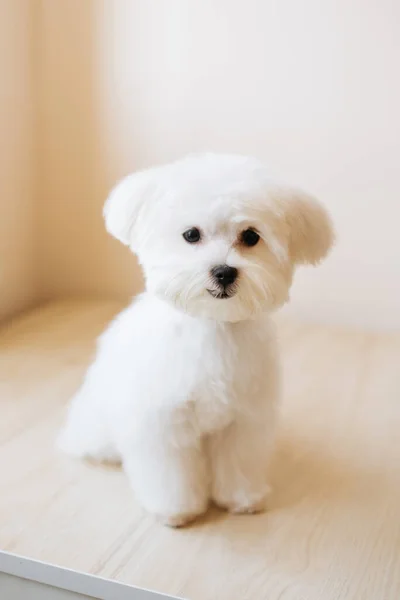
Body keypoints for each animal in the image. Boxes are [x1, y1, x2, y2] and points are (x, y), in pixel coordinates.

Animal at [58, 154, 334, 524]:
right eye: (191, 234)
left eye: (251, 236)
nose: (224, 271)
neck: (213, 325)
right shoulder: (163, 421)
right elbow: (170, 472)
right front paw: (175, 509)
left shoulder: (243, 420)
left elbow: (238, 461)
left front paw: (240, 498)